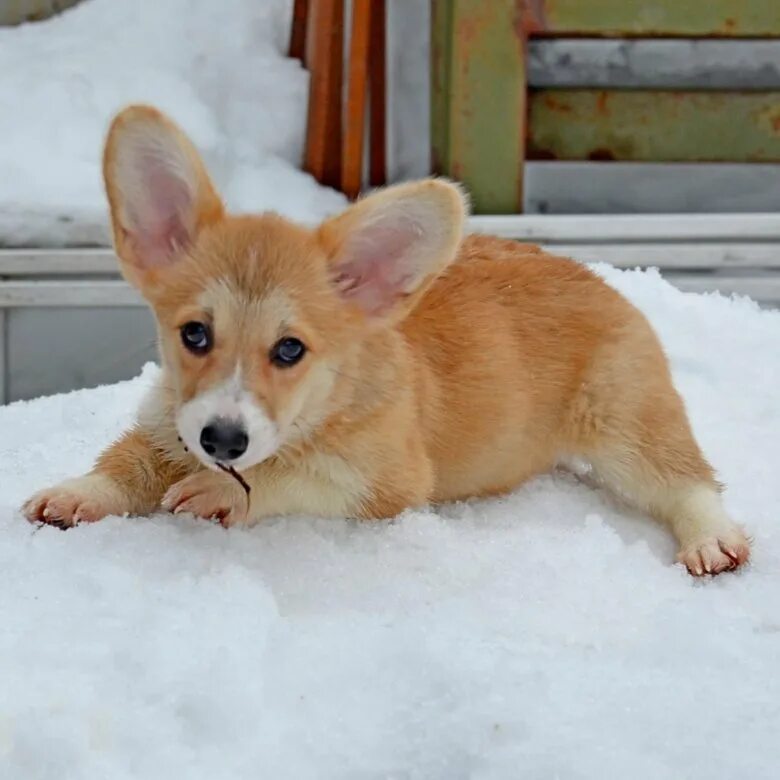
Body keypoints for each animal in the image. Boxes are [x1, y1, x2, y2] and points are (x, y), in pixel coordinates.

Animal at [21, 105, 748, 580]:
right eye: (194, 334)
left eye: (290, 350)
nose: (222, 442)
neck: (319, 406)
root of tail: (594, 274)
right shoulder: (166, 420)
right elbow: (126, 461)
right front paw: (76, 494)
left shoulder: (389, 481)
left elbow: (299, 477)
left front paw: (222, 493)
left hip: (627, 424)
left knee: (688, 480)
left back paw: (713, 541)